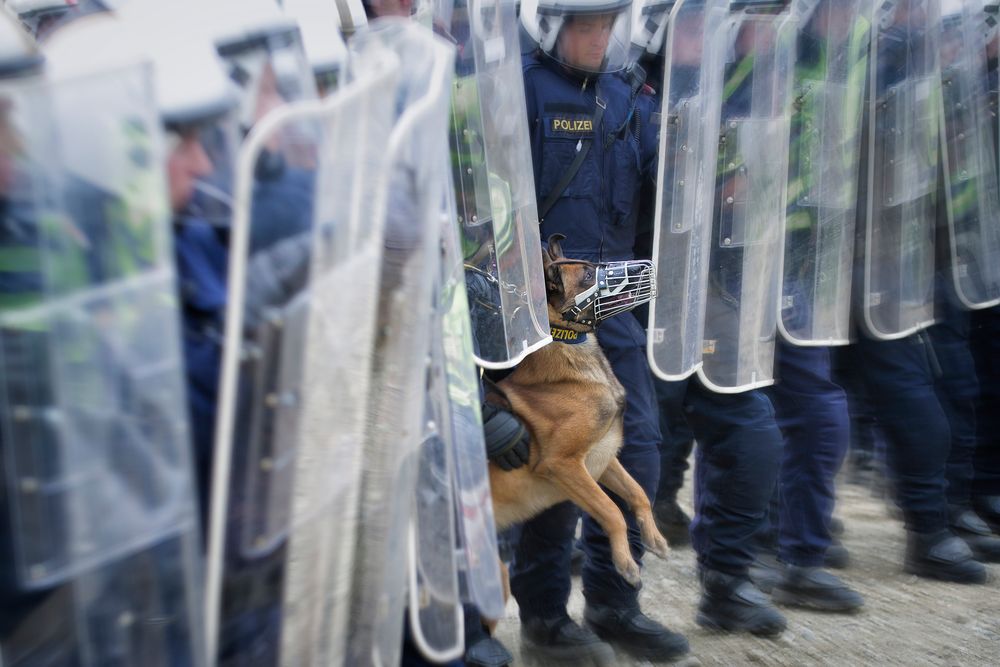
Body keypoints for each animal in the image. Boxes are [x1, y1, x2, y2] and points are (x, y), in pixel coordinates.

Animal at [486, 234, 668, 584]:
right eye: (586, 276)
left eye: (594, 265)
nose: (646, 266)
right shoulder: (563, 465)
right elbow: (612, 511)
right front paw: (624, 562)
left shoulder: (603, 458)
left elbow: (638, 492)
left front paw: (653, 537)